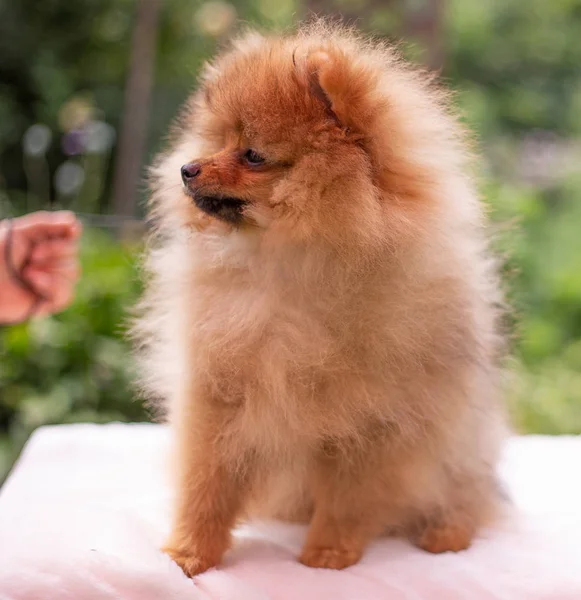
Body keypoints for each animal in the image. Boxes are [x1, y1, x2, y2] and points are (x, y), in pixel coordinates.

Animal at [134, 22, 506, 576]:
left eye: (252, 154)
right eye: (219, 140)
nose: (186, 168)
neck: (288, 269)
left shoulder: (372, 421)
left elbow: (349, 496)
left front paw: (329, 553)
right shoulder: (218, 391)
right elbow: (207, 481)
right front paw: (189, 552)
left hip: (458, 444)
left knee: (467, 494)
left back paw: (445, 533)